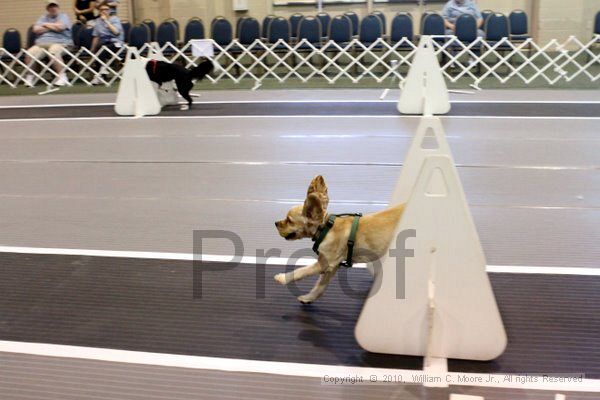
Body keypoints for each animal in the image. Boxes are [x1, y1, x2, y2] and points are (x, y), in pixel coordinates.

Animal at [276, 175, 406, 304]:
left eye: (289, 220)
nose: (275, 223)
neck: (326, 229)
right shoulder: (333, 267)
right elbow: (320, 286)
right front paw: (308, 298)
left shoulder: (324, 264)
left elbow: (301, 271)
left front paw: (282, 278)